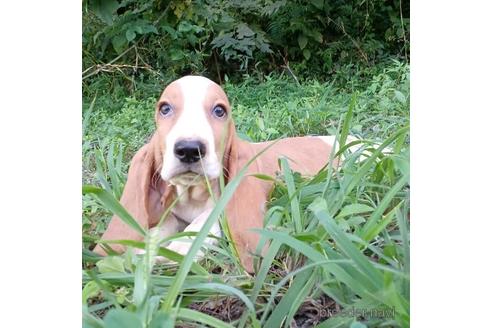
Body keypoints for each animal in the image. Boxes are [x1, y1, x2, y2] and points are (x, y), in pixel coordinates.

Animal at [93, 75, 350, 272]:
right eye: (165, 108)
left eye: (219, 111)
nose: (189, 149)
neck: (193, 193)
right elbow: (164, 224)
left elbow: (205, 220)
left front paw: (180, 248)